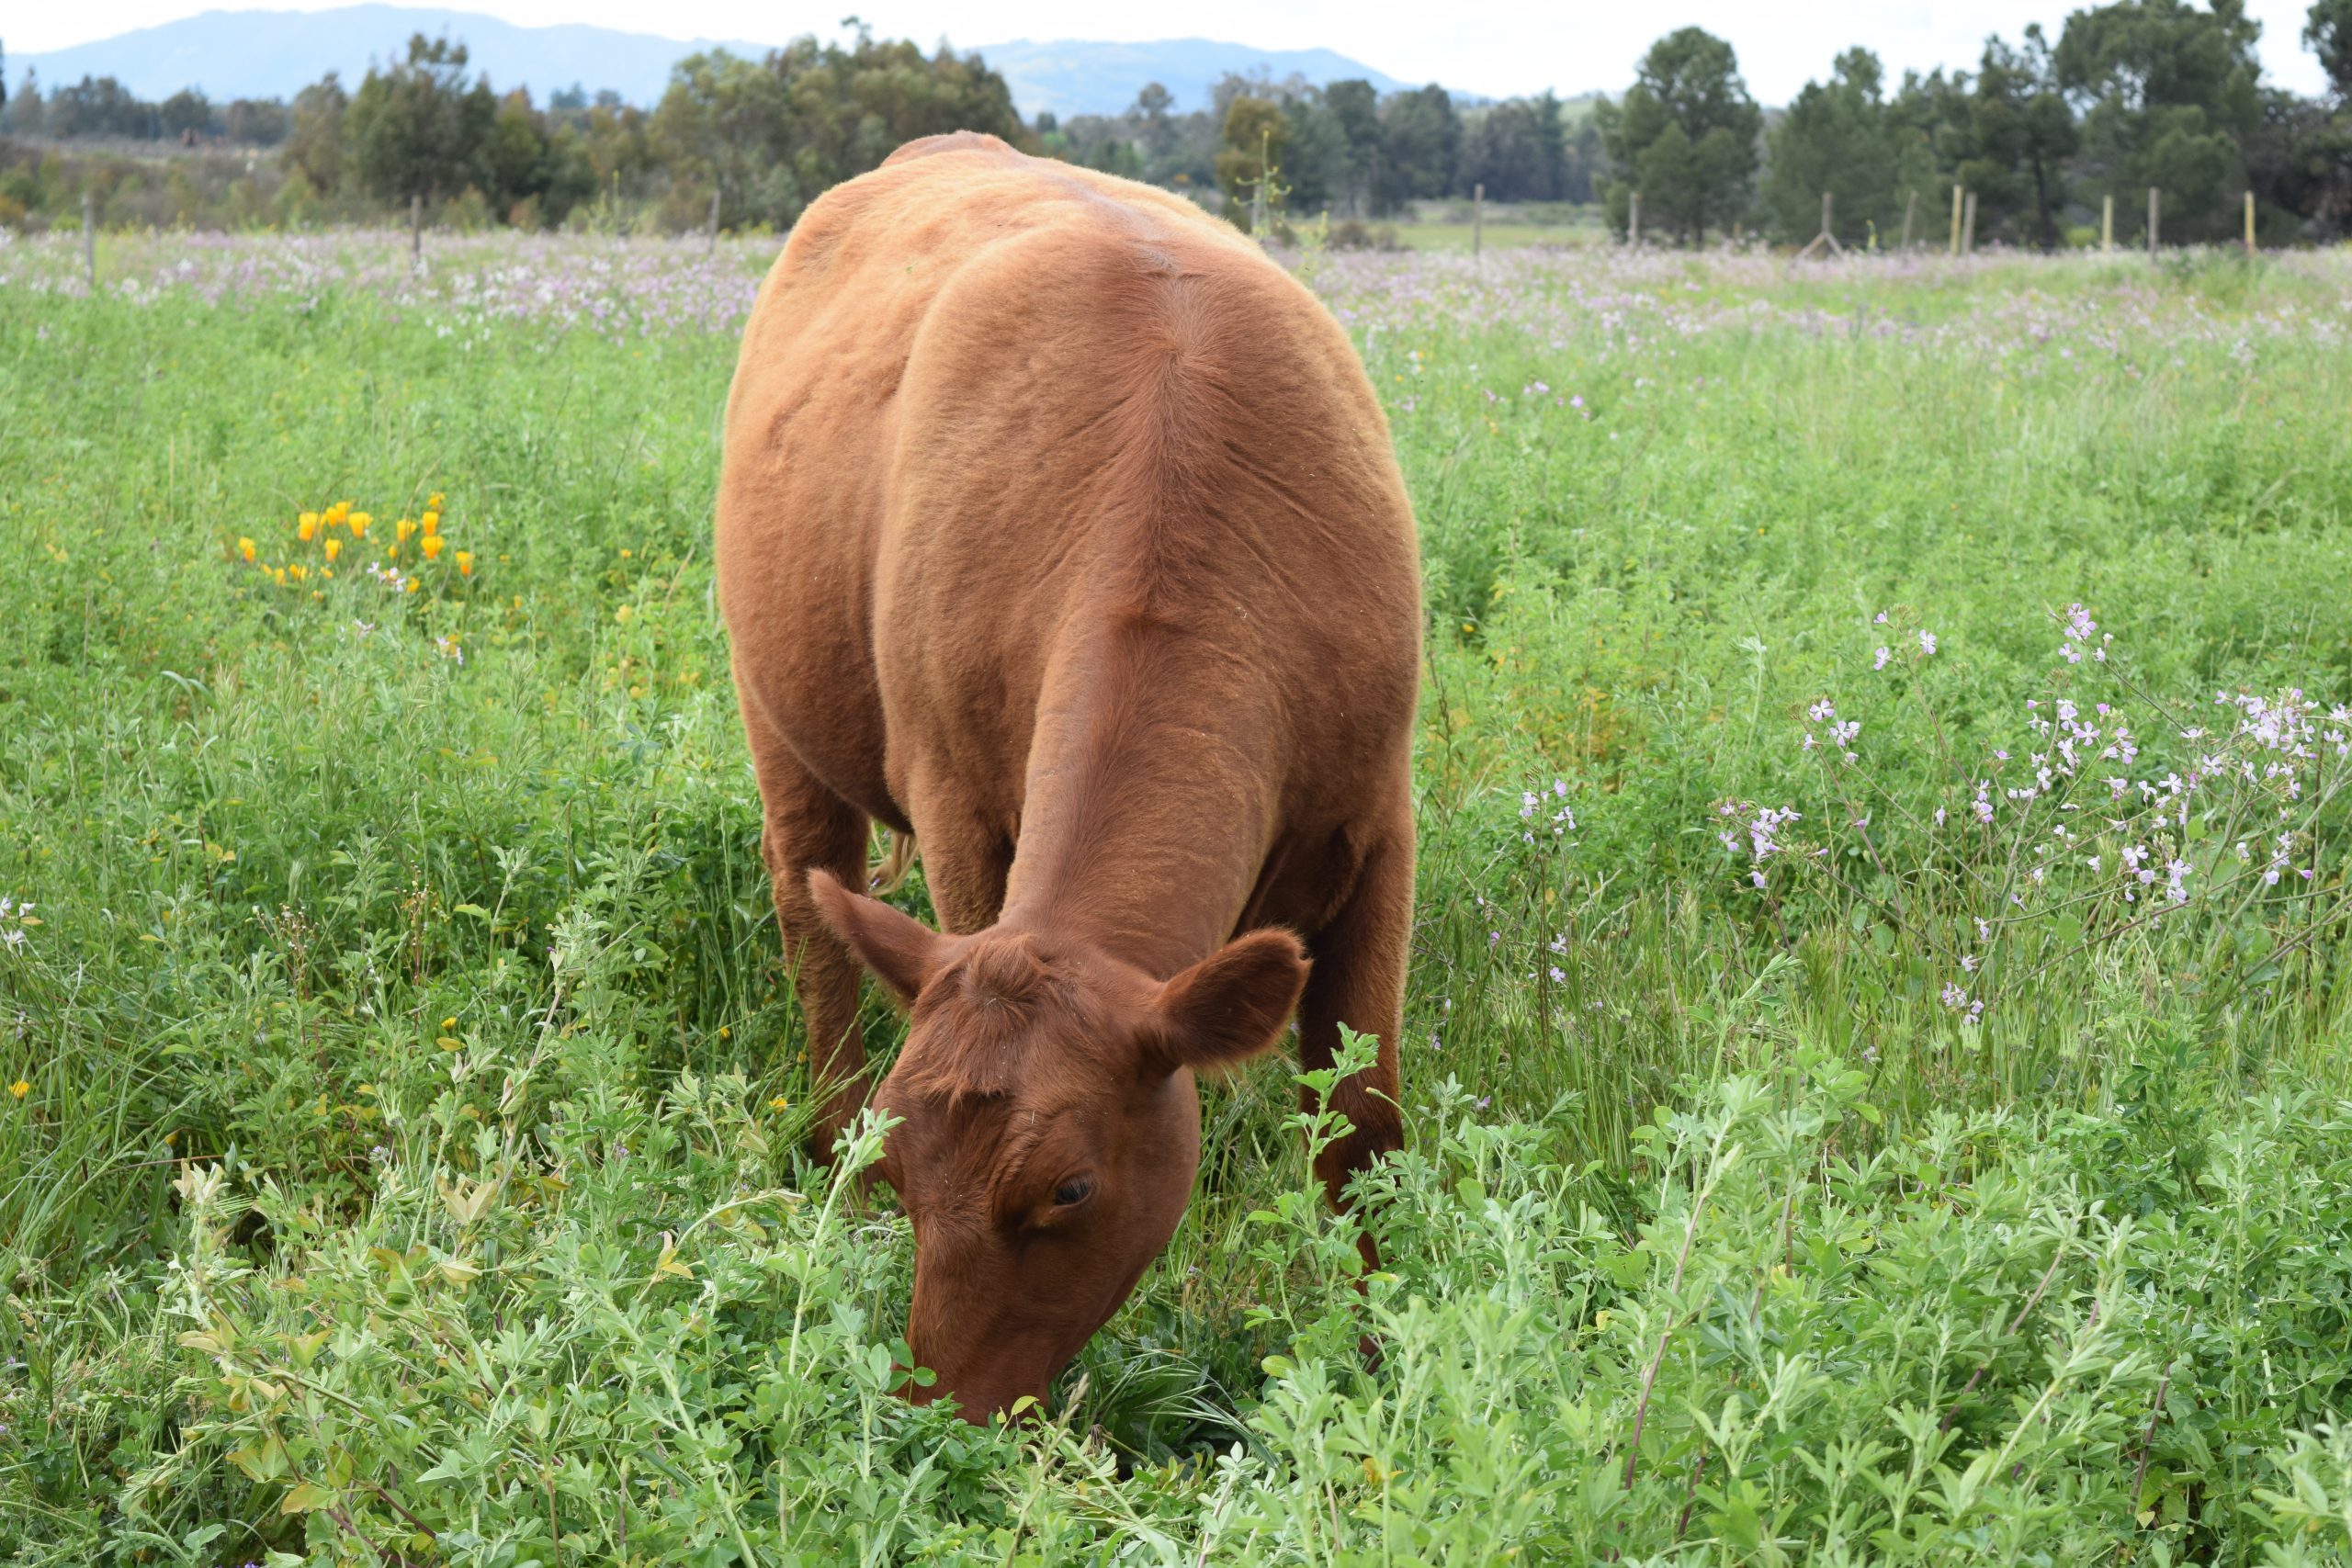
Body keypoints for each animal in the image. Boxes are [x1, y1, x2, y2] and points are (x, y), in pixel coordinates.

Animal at [710, 129, 1411, 1419]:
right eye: (904, 1169)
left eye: (1069, 1190)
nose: (936, 1408)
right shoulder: (959, 812)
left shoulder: (1378, 819)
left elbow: (1359, 1126)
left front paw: (1381, 1352)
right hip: (776, 711)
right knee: (810, 910)